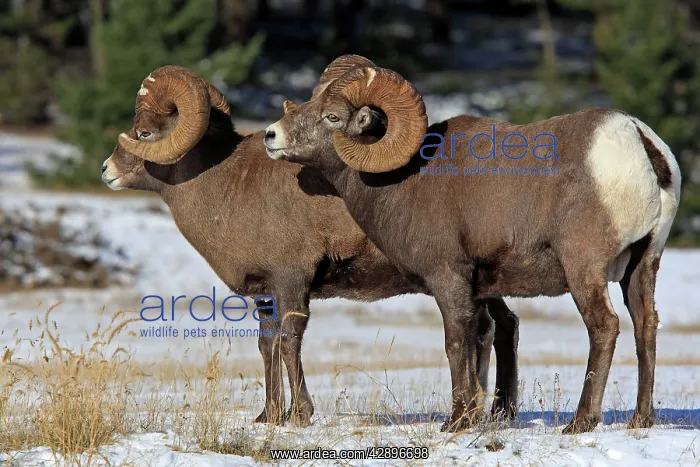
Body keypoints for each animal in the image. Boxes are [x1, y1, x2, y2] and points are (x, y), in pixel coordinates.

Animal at [101, 64, 521, 427]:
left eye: (143, 134)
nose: (106, 171)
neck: (226, 186)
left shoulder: (291, 281)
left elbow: (289, 341)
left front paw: (299, 415)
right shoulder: (266, 294)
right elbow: (267, 345)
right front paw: (268, 416)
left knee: (484, 330)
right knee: (500, 326)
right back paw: (496, 412)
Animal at [263, 55, 682, 434]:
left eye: (332, 117)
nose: (271, 136)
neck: (402, 182)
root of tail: (637, 141)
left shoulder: (447, 278)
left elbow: (455, 342)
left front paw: (456, 421)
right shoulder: (479, 290)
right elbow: (479, 339)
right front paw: (474, 416)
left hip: (584, 270)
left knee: (604, 327)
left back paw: (580, 423)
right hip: (642, 266)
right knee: (645, 325)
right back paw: (640, 420)